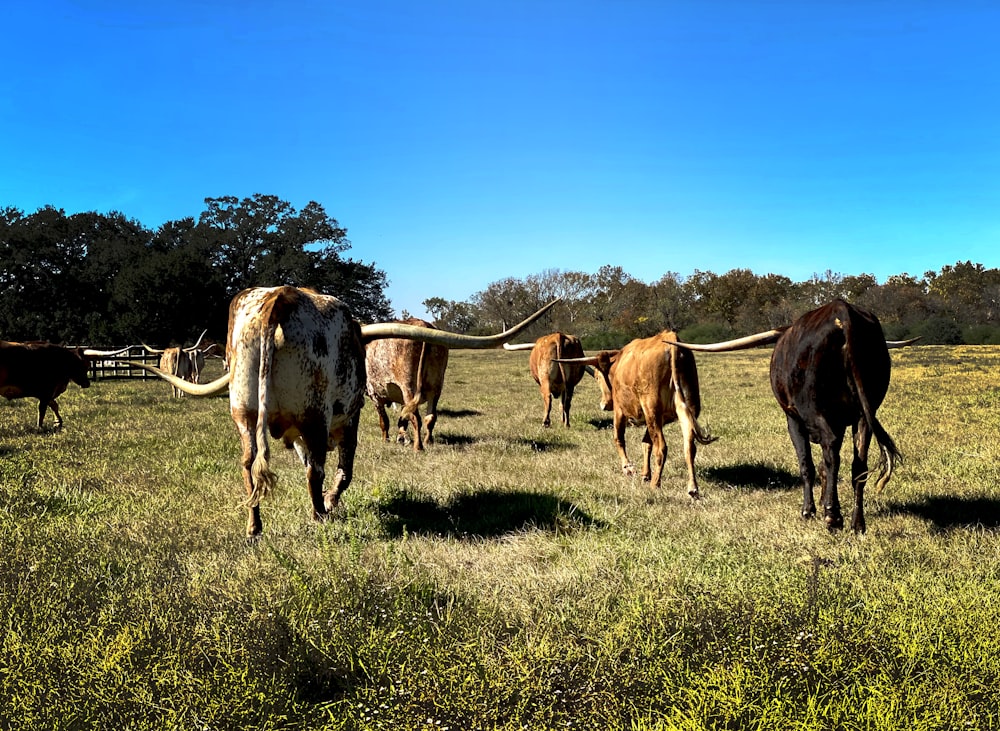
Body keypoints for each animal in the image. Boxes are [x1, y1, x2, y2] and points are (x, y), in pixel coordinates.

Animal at [366, 318, 448, 452]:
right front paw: (401, 437)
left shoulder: (375, 394)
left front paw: (385, 440)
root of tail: (424, 324)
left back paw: (418, 447)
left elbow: (384, 421)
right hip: (436, 388)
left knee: (416, 418)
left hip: (409, 388)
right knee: (430, 417)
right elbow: (402, 419)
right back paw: (428, 441)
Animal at [560, 332, 716, 498]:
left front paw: (628, 468)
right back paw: (692, 487)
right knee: (689, 446)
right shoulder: (658, 419)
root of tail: (670, 338)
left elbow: (619, 439)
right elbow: (646, 443)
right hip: (685, 410)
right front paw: (645, 474)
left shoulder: (620, 411)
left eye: (597, 377)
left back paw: (655, 484)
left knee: (661, 447)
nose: (604, 405)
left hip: (651, 409)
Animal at [672, 300, 916, 536]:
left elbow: (807, 464)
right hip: (865, 415)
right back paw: (858, 524)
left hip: (813, 410)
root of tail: (843, 313)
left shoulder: (794, 420)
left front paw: (809, 510)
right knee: (859, 464)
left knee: (830, 450)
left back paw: (833, 516)